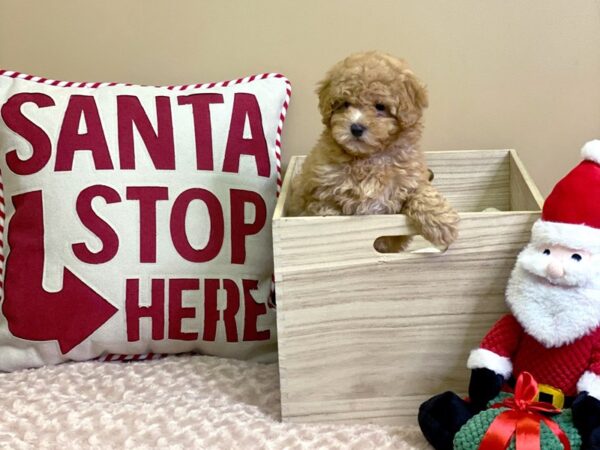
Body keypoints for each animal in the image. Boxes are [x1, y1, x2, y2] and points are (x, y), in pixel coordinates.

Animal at [288, 51, 460, 251]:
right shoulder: (320, 191)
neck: (369, 158)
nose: (356, 128)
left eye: (380, 106)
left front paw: (442, 223)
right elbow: (325, 209)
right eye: (345, 104)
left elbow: (422, 193)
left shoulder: (410, 179)